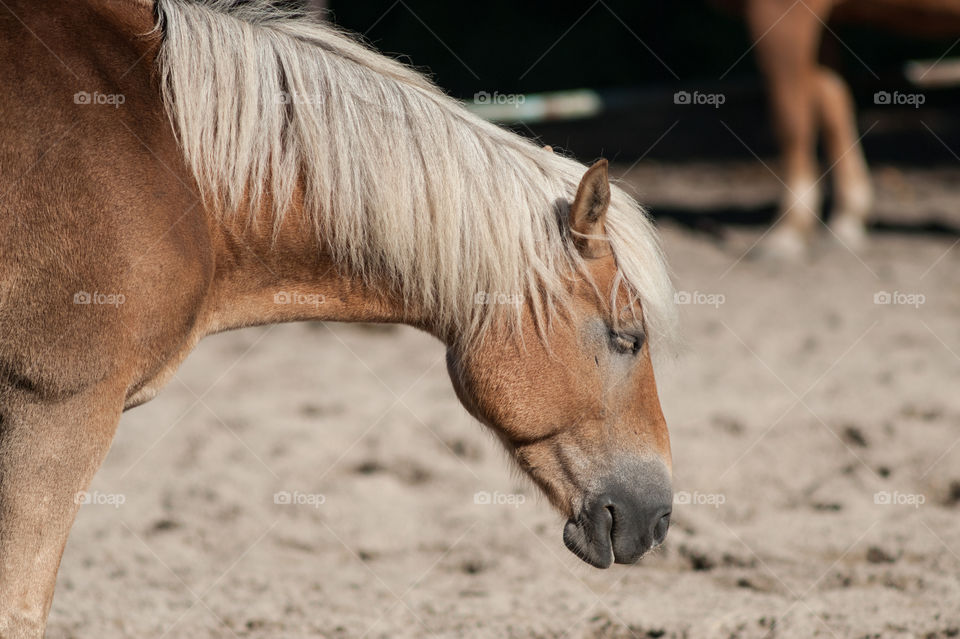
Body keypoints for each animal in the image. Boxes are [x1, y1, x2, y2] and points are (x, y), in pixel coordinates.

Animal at [732, 1, 960, 260]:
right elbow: (832, 104)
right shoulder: (825, 22)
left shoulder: (781, 14)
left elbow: (791, 123)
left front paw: (789, 230)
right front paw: (847, 219)